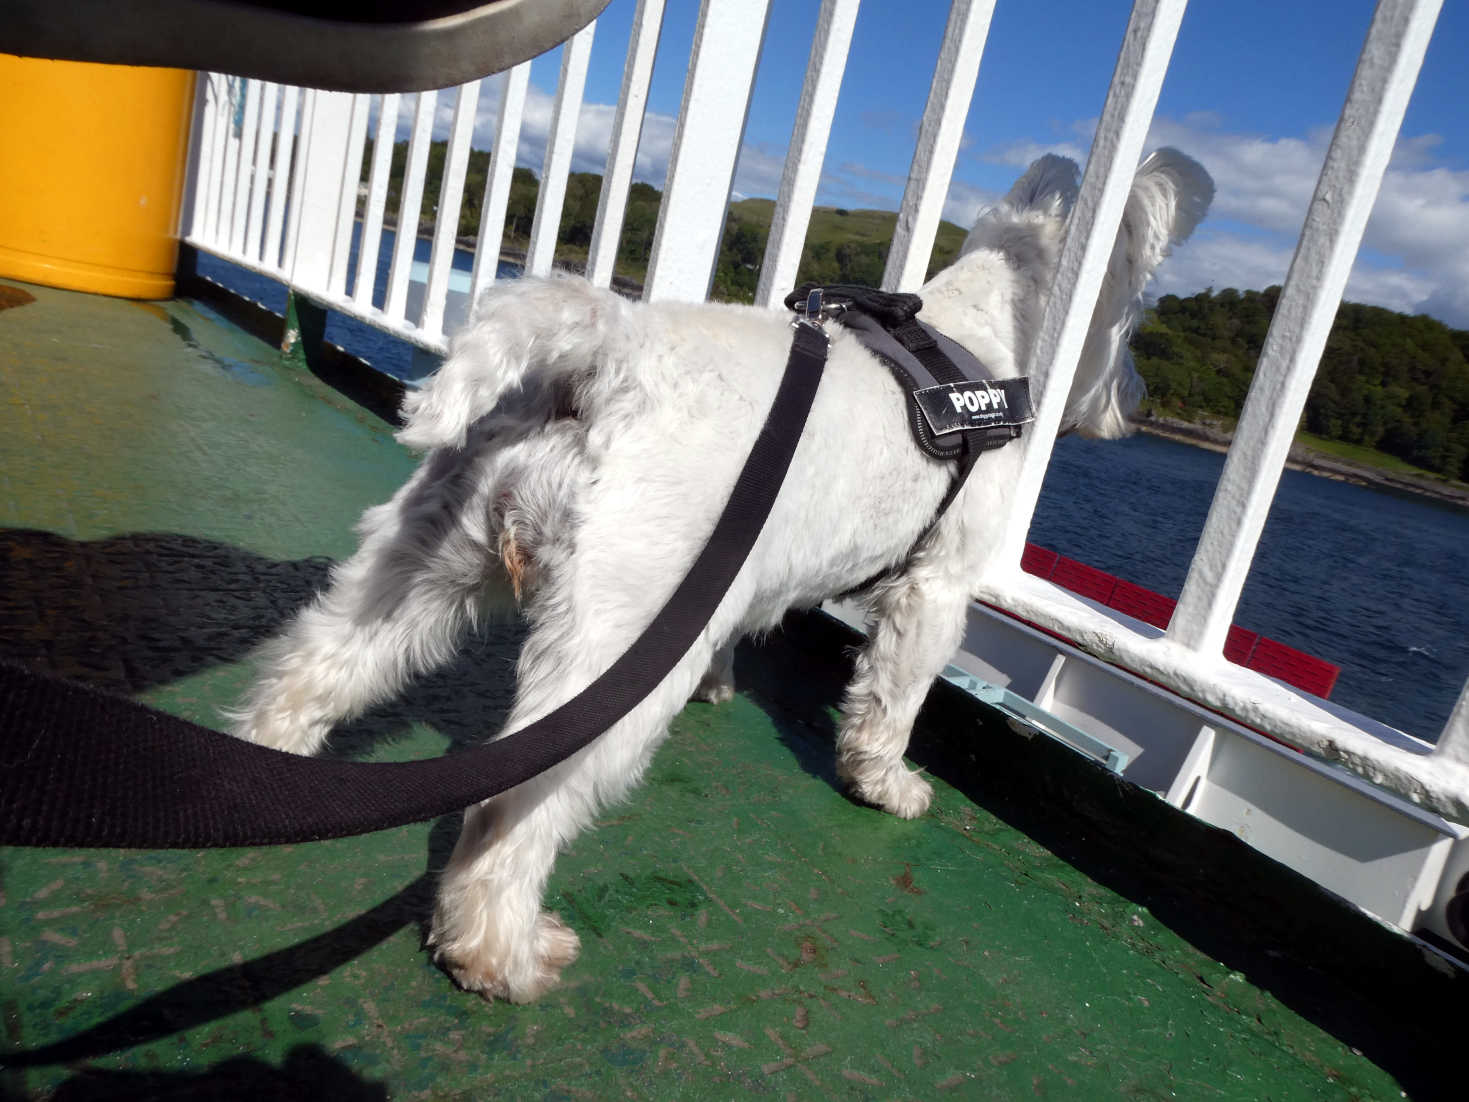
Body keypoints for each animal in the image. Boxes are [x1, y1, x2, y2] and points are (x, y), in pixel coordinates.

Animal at [232, 146, 1216, 999]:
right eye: (1136, 318)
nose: (1136, 404)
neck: (972, 343)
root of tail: (609, 357)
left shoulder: (739, 570)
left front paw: (721, 683)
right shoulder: (935, 588)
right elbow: (893, 702)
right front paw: (885, 786)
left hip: (422, 560)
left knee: (320, 664)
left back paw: (271, 778)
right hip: (612, 647)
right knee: (510, 812)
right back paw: (501, 952)